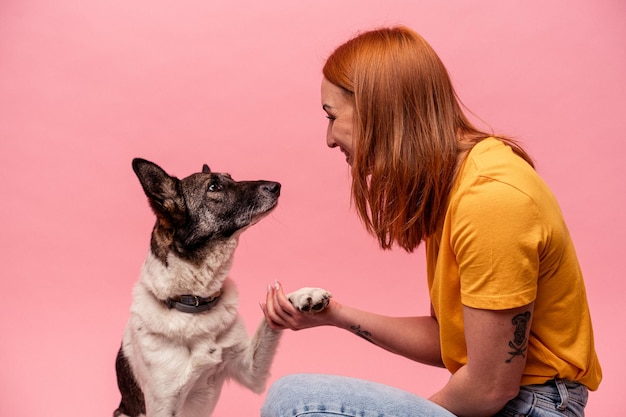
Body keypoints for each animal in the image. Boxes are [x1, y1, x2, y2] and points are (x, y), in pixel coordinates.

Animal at [114, 159, 330, 416]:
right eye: (214, 187)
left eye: (231, 177)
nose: (276, 186)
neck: (195, 302)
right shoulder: (164, 405)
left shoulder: (250, 370)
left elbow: (268, 319)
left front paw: (304, 295)